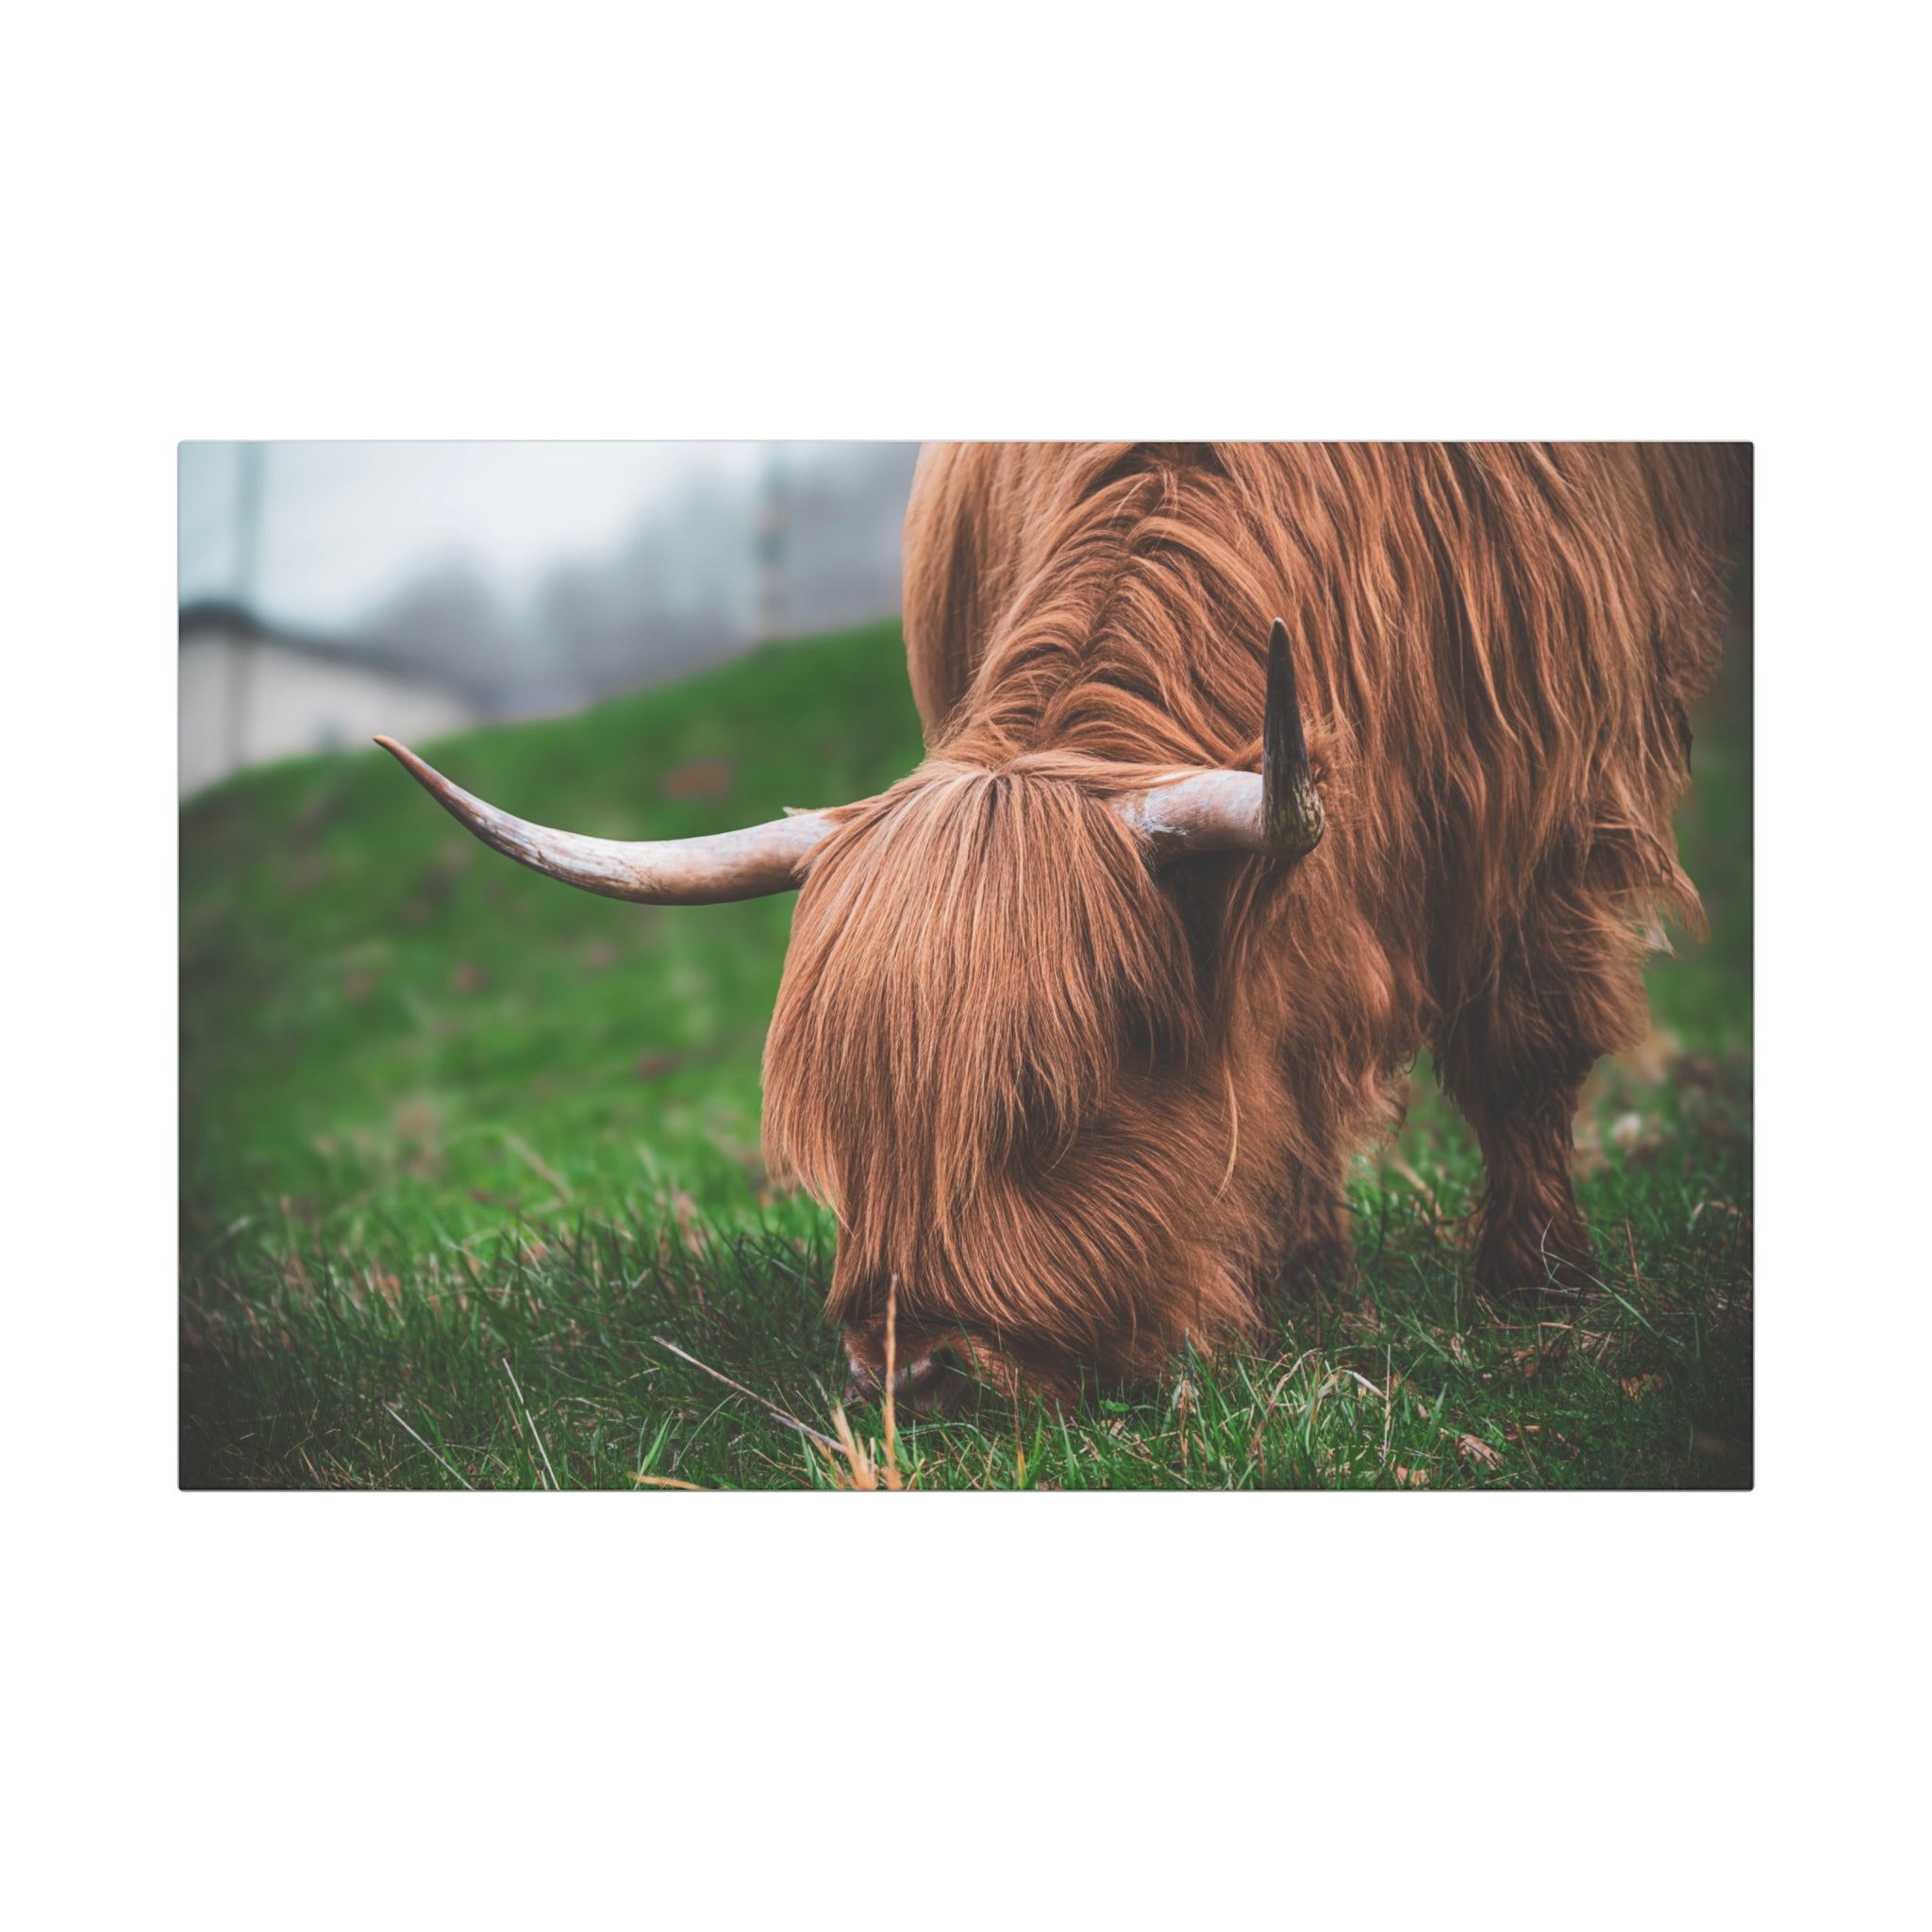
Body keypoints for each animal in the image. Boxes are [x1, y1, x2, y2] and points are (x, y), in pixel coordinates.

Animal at [378, 442, 1750, 1413]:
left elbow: (1519, 1049)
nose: (908, 1372)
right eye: (847, 1127)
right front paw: (1308, 1289)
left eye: (1048, 1107)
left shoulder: (1555, 792)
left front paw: (1539, 1285)